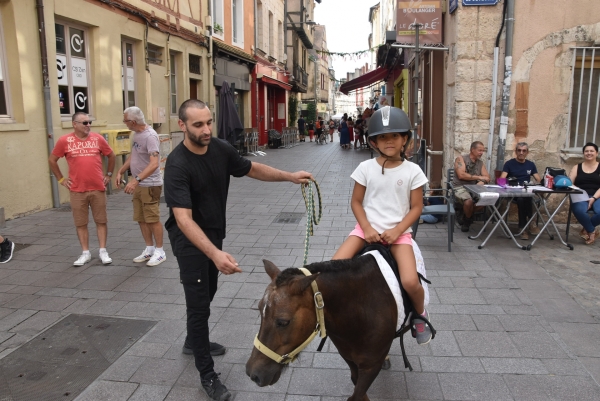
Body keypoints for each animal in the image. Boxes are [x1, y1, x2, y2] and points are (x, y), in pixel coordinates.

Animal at [246, 256, 400, 400]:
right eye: (259, 310)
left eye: (283, 322)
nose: (253, 373)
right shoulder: (348, 357)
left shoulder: (371, 366)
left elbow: (357, 395)